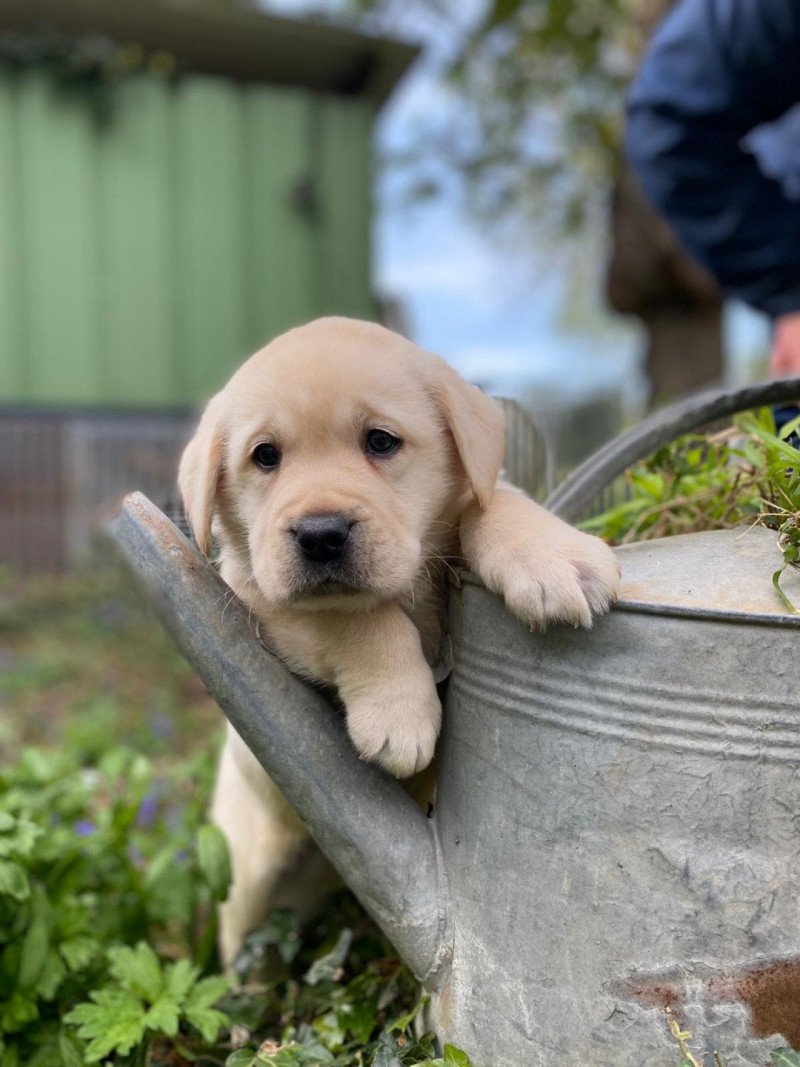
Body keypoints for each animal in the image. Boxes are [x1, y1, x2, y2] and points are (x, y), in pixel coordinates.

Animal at [180, 313, 618, 960]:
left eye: (381, 442)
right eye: (265, 456)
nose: (320, 534)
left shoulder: (469, 500)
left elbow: (493, 501)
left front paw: (554, 557)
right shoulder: (255, 593)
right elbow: (361, 616)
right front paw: (399, 716)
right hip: (250, 881)